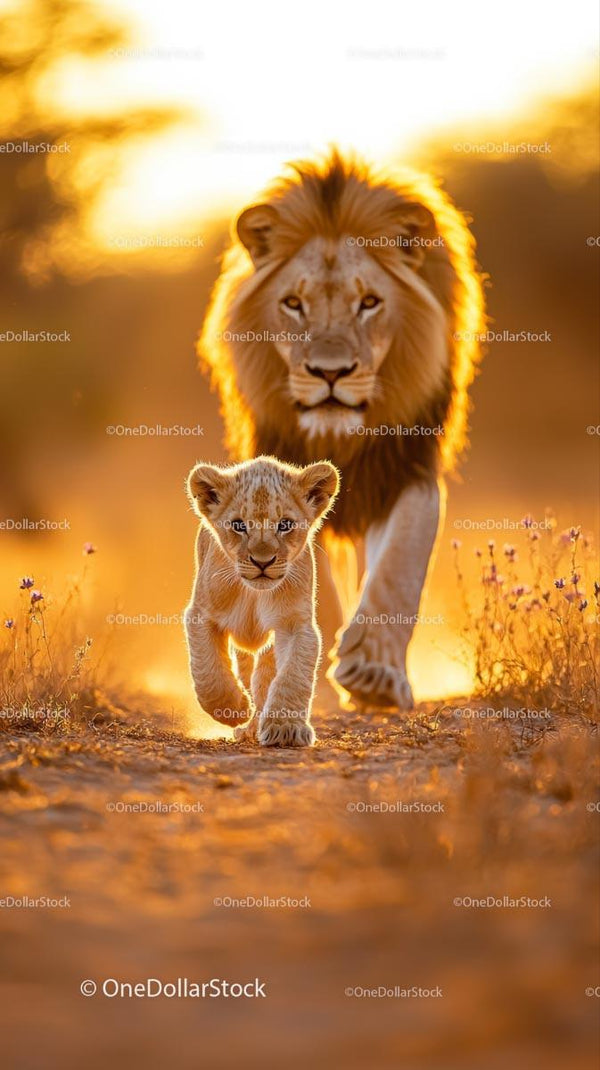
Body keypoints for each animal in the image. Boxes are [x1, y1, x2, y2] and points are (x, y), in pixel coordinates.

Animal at [184, 455, 340, 746]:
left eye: (285, 525)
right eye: (239, 525)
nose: (262, 561)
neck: (254, 593)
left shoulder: (295, 623)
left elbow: (293, 675)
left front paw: (286, 729)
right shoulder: (200, 615)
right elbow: (208, 671)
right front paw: (233, 708)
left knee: (263, 679)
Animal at [198, 150, 485, 711]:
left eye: (369, 302)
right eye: (293, 304)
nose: (330, 373)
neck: (339, 437)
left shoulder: (404, 468)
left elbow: (399, 566)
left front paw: (375, 673)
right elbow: (314, 584)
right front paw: (312, 683)